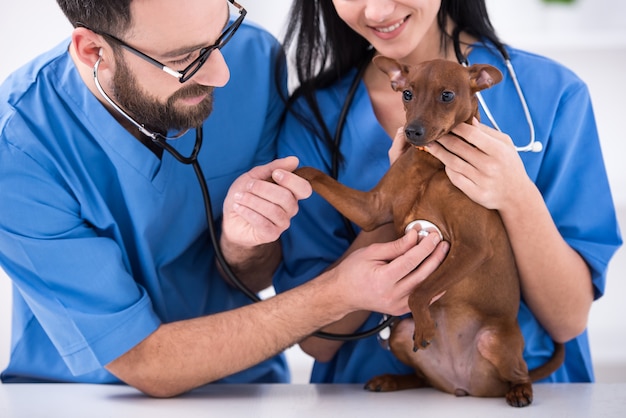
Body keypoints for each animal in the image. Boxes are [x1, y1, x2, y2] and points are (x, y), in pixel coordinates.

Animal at [294, 57, 564, 406]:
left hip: (493, 340)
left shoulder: (472, 247)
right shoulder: (373, 209)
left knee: (521, 373)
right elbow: (315, 174)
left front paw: (424, 322)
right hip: (398, 336)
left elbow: (419, 292)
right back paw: (391, 380)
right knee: (422, 377)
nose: (412, 131)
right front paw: (284, 174)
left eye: (447, 95)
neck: (431, 164)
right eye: (407, 94)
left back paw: (519, 391)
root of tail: (463, 385)